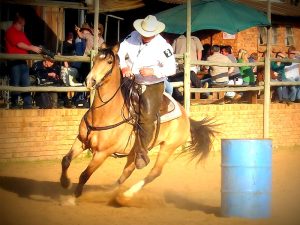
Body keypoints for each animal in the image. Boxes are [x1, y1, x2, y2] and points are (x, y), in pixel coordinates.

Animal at [59, 43, 217, 205]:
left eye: (109, 61)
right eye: (95, 59)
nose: (90, 81)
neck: (104, 113)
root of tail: (186, 117)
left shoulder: (102, 153)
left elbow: (84, 174)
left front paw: (73, 197)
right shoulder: (81, 140)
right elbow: (65, 160)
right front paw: (65, 183)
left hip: (168, 147)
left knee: (155, 172)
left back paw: (126, 195)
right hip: (136, 150)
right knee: (128, 171)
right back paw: (109, 192)